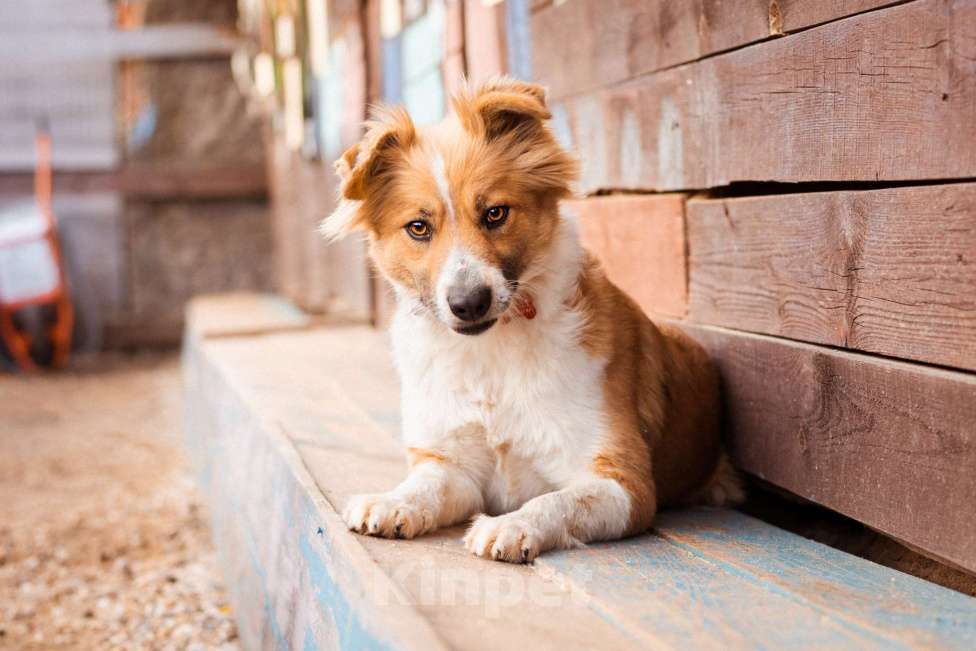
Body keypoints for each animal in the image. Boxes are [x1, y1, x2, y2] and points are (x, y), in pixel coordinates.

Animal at [320, 77, 740, 564]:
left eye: (495, 213)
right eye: (419, 227)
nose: (469, 303)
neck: (489, 354)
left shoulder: (623, 481)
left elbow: (557, 501)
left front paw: (512, 525)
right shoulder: (456, 468)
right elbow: (424, 487)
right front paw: (392, 501)